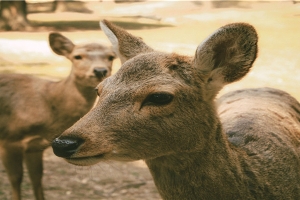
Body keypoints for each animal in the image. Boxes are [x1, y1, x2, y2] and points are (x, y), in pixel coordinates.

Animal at [0, 32, 116, 200]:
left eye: (111, 56)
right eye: (77, 56)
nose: (100, 70)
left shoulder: (35, 146)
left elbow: (37, 178)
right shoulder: (9, 140)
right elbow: (16, 179)